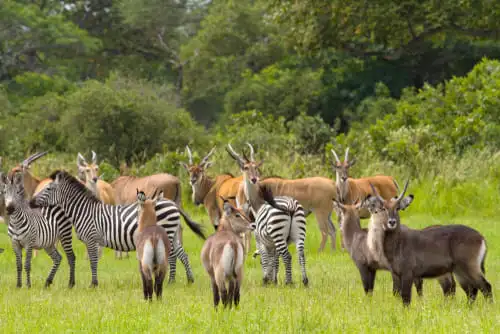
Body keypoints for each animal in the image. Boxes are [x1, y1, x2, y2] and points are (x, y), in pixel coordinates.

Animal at [29, 171, 206, 286]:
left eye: (48, 189)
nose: (30, 202)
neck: (84, 211)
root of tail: (172, 204)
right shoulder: (92, 240)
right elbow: (93, 260)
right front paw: (94, 282)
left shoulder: (92, 238)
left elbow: (93, 261)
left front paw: (93, 284)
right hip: (173, 233)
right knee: (182, 254)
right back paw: (186, 280)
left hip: (166, 232)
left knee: (172, 256)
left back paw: (171, 281)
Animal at [362, 180, 494, 306]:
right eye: (383, 208)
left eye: (397, 208)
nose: (392, 222)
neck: (398, 243)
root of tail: (481, 237)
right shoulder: (397, 274)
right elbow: (398, 295)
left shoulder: (408, 273)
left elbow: (406, 299)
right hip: (460, 271)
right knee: (472, 290)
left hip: (469, 267)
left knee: (485, 286)